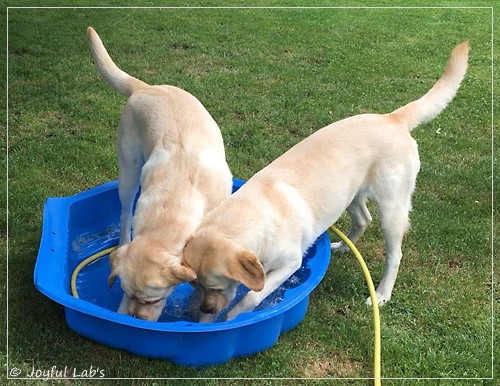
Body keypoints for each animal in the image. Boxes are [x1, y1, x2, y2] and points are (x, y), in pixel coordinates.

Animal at [86, 27, 232, 322]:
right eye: (125, 293)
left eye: (153, 300)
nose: (133, 319)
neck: (170, 209)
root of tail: (145, 87)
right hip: (128, 172)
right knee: (124, 216)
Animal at [183, 40, 468, 322]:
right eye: (194, 284)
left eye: (216, 285)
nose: (203, 310)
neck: (254, 215)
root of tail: (392, 118)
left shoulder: (290, 264)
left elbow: (252, 296)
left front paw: (232, 317)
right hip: (348, 194)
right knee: (363, 219)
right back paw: (342, 247)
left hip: (392, 210)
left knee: (394, 254)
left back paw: (382, 295)